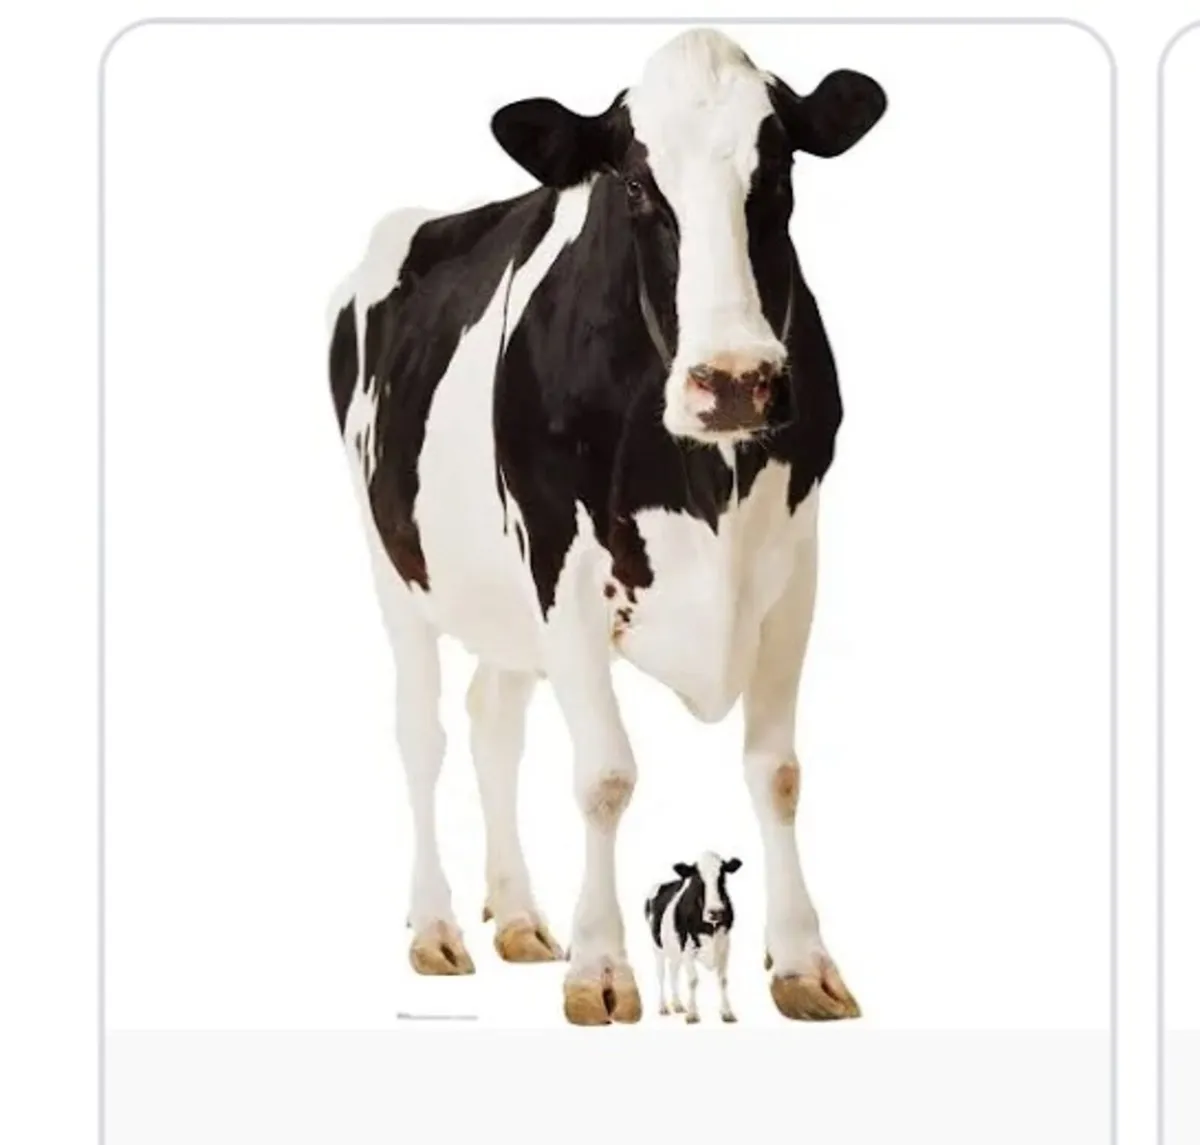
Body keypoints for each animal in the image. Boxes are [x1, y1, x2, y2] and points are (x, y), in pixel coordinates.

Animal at [646, 853, 742, 1023]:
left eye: (722, 876)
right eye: (698, 879)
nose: (716, 912)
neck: (710, 927)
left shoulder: (725, 946)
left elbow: (723, 980)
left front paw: (727, 1012)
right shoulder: (688, 949)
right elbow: (693, 980)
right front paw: (692, 1014)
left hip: (675, 952)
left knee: (673, 972)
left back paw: (678, 1005)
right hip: (657, 948)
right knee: (661, 976)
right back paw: (663, 1007)